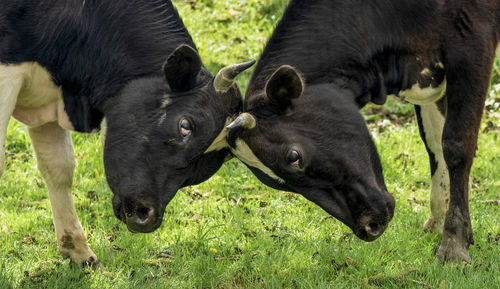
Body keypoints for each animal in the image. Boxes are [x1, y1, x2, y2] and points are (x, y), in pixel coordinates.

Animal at [228, 0, 500, 260]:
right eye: (277, 185)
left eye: (294, 156)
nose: (369, 227)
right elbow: (434, 142)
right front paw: (439, 223)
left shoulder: (473, 40)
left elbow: (455, 145)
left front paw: (455, 243)